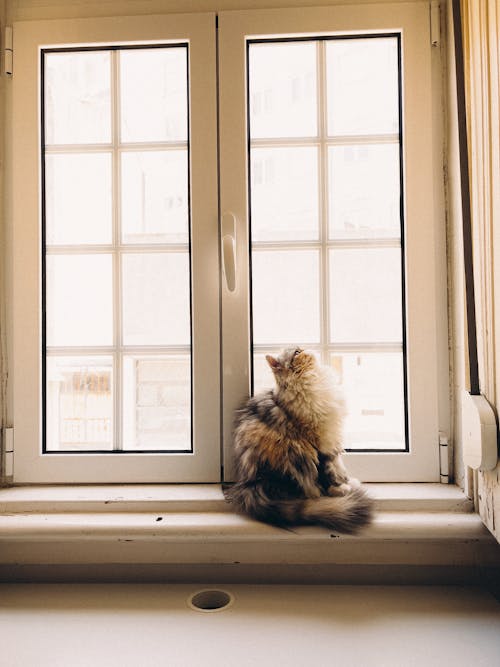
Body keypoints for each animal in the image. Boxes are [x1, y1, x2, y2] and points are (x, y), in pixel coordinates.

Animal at [225, 348, 374, 536]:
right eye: (296, 353)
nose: (306, 349)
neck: (311, 381)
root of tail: (249, 484)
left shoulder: (331, 437)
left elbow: (338, 465)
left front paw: (347, 482)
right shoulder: (318, 444)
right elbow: (328, 469)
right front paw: (339, 489)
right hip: (295, 456)